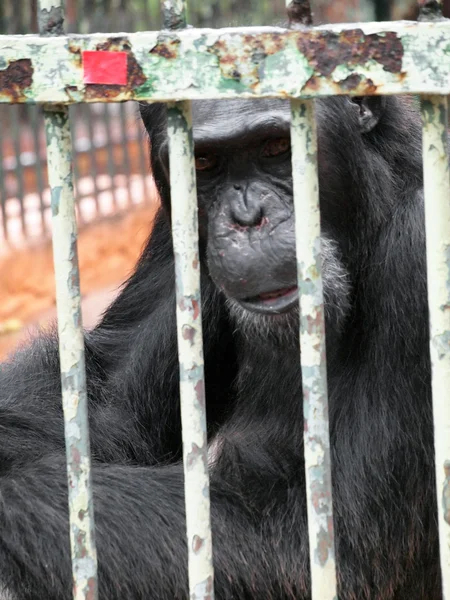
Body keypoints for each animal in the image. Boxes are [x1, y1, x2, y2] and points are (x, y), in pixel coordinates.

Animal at [0, 94, 442, 600]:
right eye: (203, 162)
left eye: (277, 146)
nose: (247, 218)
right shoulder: (174, 229)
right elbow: (110, 401)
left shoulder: (420, 253)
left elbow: (328, 543)